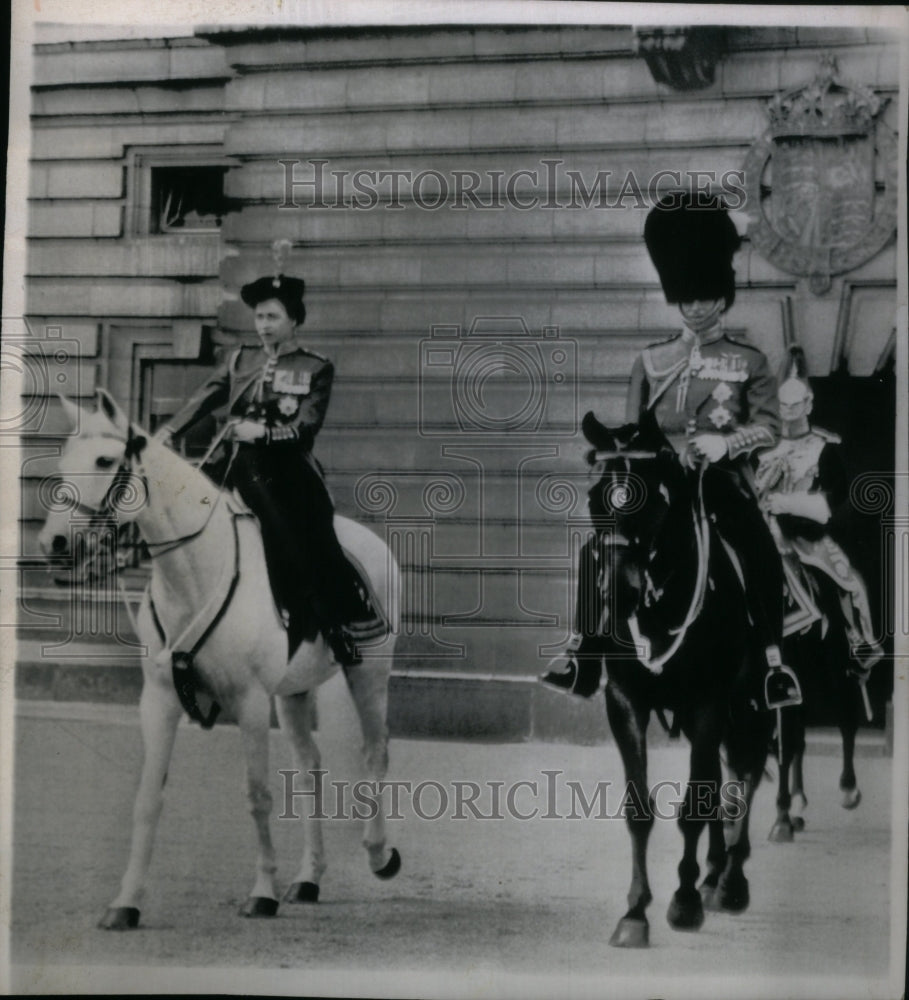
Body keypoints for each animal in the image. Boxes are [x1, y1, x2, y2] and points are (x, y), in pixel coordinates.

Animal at [38, 390, 400, 928]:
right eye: (63, 462)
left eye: (104, 460)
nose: (53, 544)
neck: (193, 572)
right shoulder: (159, 701)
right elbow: (148, 798)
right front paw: (126, 901)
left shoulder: (249, 702)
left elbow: (258, 795)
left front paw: (262, 892)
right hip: (293, 691)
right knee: (309, 767)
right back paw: (309, 877)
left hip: (369, 671)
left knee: (374, 753)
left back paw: (378, 855)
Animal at [580, 408, 768, 944]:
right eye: (594, 498)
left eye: (657, 502)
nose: (616, 596)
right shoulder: (625, 701)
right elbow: (640, 809)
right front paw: (635, 912)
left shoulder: (709, 700)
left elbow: (694, 807)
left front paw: (682, 902)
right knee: (721, 775)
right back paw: (713, 871)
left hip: (753, 700)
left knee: (746, 770)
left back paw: (730, 881)